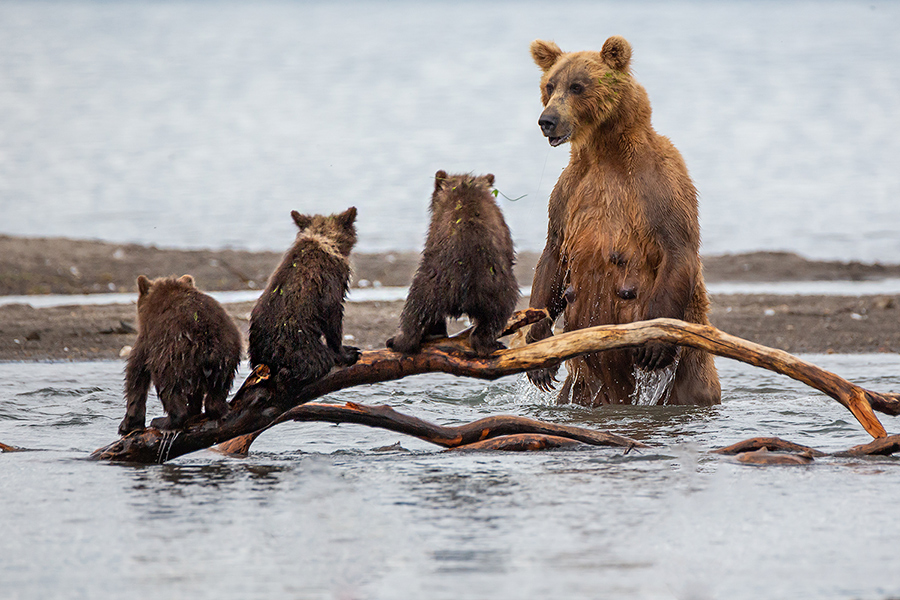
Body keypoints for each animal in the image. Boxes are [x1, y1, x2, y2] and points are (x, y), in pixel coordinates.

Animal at [118, 274, 243, 434]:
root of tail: (208, 340)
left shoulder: (148, 337)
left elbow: (136, 372)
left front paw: (128, 424)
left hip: (172, 353)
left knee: (167, 384)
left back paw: (165, 421)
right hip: (226, 355)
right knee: (219, 386)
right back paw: (221, 409)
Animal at [386, 170, 520, 356]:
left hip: (432, 283)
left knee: (415, 311)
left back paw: (402, 341)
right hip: (492, 286)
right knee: (494, 316)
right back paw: (487, 344)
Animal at [524, 35, 720, 406]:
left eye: (578, 86)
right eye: (549, 85)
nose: (547, 120)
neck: (605, 152)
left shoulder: (659, 184)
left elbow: (677, 247)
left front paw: (654, 346)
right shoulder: (568, 193)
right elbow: (553, 254)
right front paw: (539, 349)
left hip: (689, 370)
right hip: (584, 385)